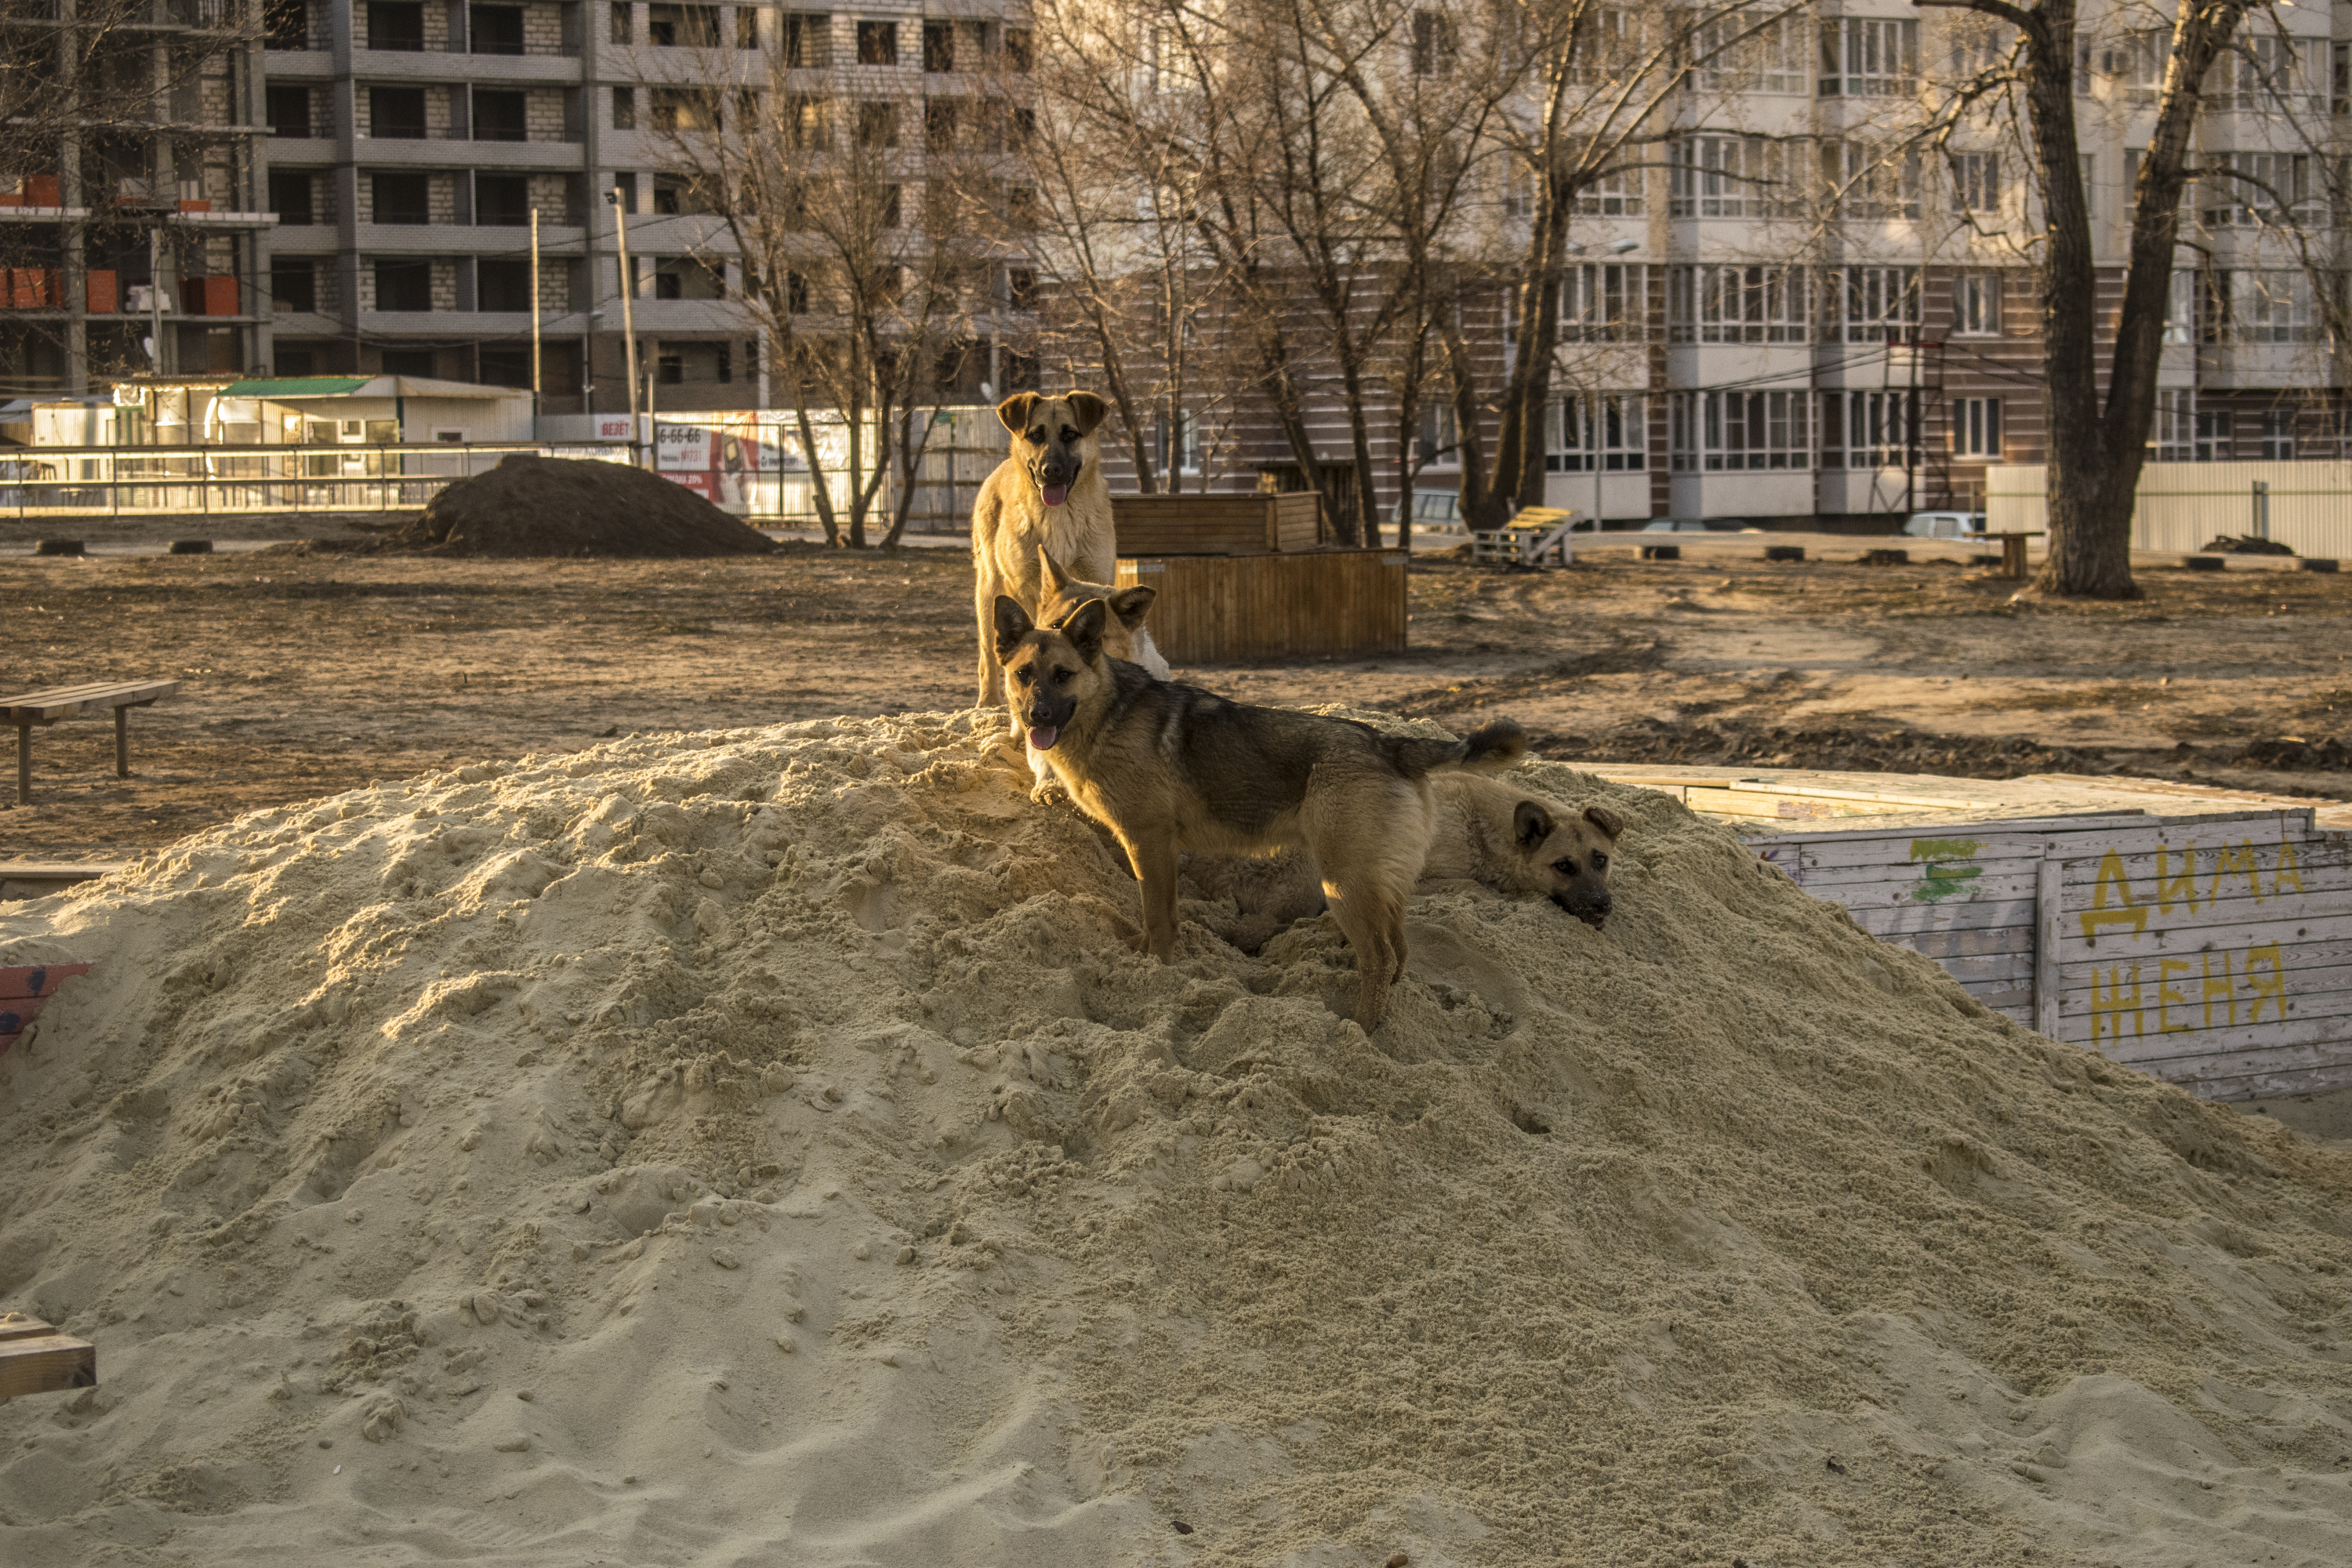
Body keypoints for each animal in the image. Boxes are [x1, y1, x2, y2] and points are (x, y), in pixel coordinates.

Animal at [974, 392, 1120, 710]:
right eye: (1036, 435)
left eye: (1070, 435)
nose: (1050, 470)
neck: (1058, 517)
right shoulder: (1024, 589)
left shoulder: (1097, 579)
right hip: (989, 592)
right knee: (988, 657)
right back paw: (988, 702)